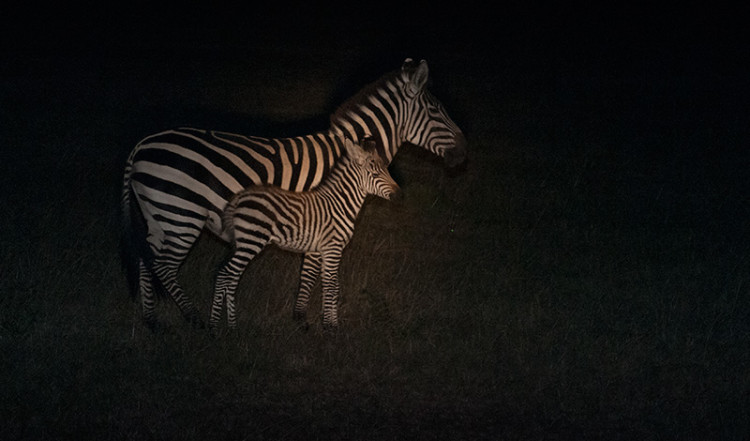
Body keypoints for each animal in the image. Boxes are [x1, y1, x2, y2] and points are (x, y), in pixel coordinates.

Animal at [210, 137, 400, 326]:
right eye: (375, 174)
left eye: (386, 169)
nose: (398, 194)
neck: (341, 204)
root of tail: (240, 197)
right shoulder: (333, 248)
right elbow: (331, 286)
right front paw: (330, 326)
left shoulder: (325, 250)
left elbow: (333, 285)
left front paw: (331, 323)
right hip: (251, 240)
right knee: (225, 274)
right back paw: (214, 325)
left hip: (242, 243)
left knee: (231, 278)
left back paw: (231, 325)